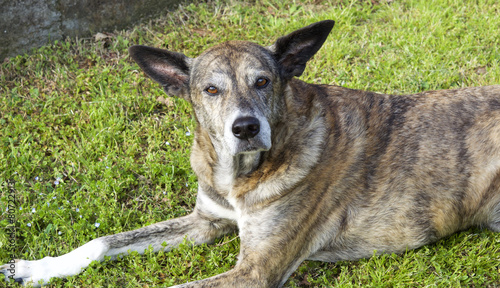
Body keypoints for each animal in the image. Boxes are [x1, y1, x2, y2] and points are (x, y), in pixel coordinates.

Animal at [2, 19, 500, 286]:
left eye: (262, 81)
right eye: (211, 89)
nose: (245, 127)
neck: (239, 173)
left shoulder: (256, 270)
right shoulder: (205, 222)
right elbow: (104, 241)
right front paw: (37, 267)